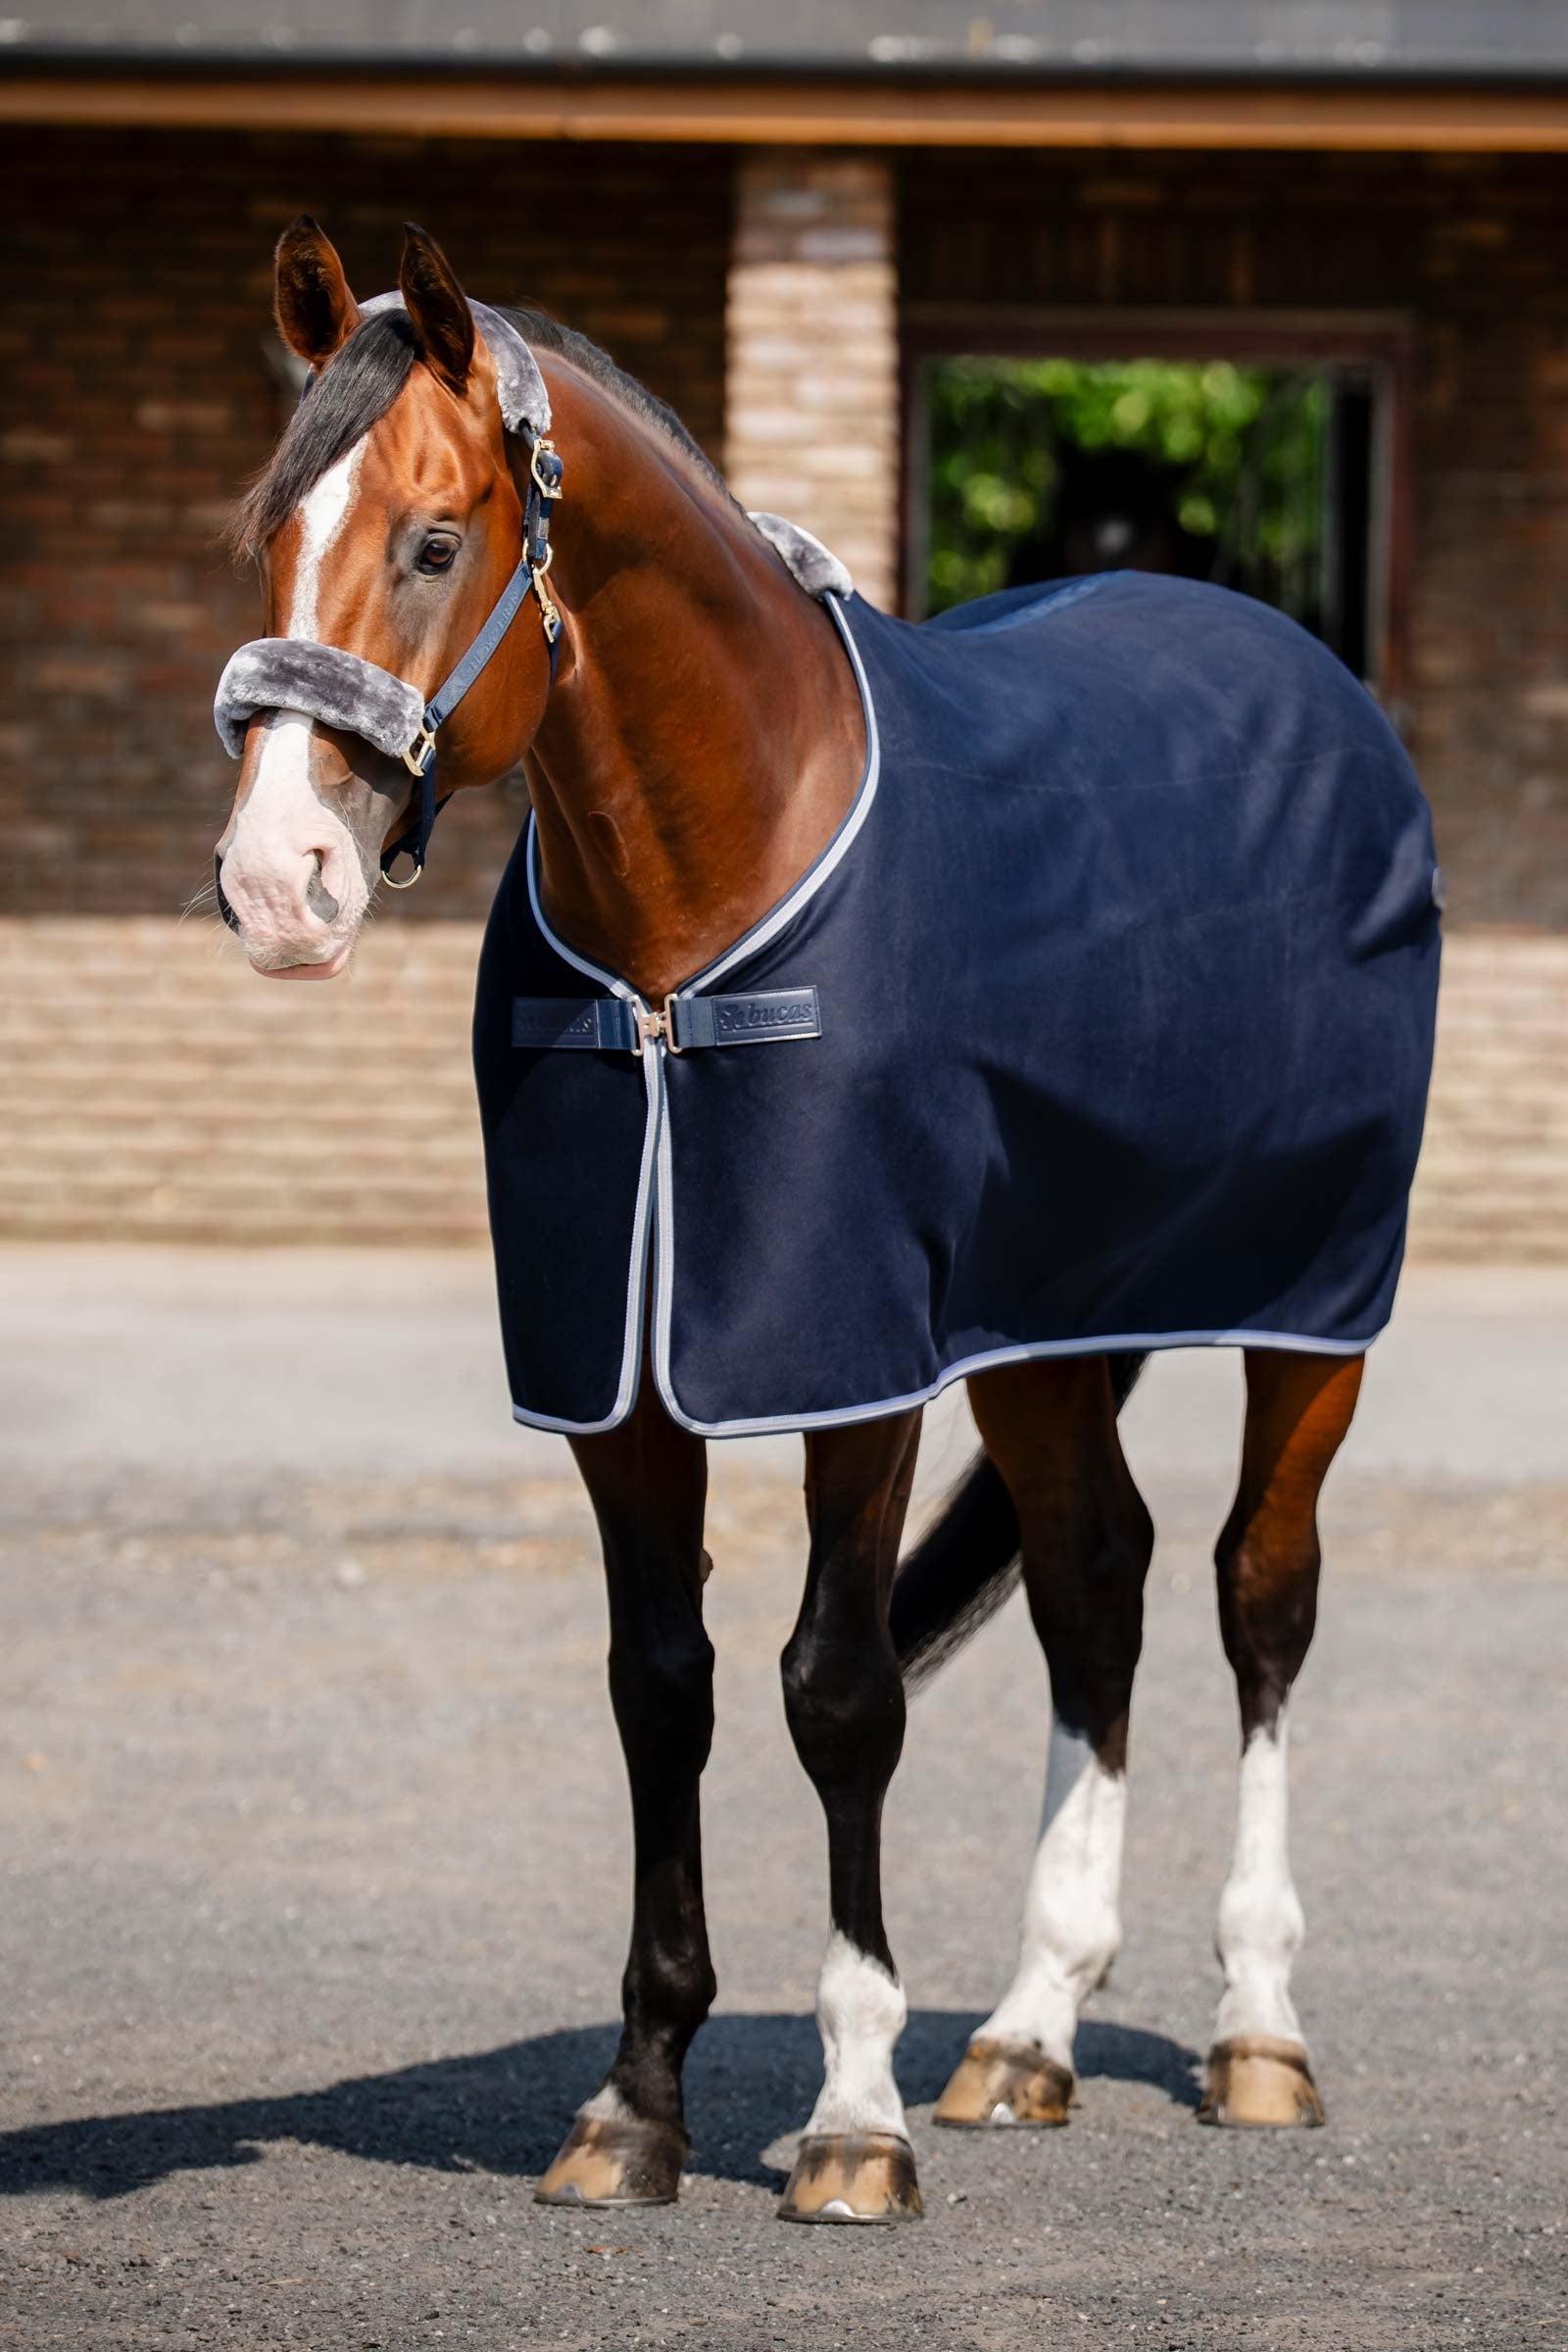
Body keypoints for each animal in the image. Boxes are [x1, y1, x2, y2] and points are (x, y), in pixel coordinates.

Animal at [211, 218, 1440, 2222]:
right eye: (265, 535)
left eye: (435, 539)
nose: (276, 879)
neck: (697, 909)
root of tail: (1317, 685)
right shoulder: (630, 1379)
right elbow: (662, 1690)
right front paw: (634, 2105)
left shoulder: (850, 1358)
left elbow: (839, 1692)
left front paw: (854, 2121)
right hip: (1042, 1329)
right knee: (1096, 1587)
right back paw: (1026, 2034)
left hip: (1308, 1307)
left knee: (1261, 1594)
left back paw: (1258, 2030)